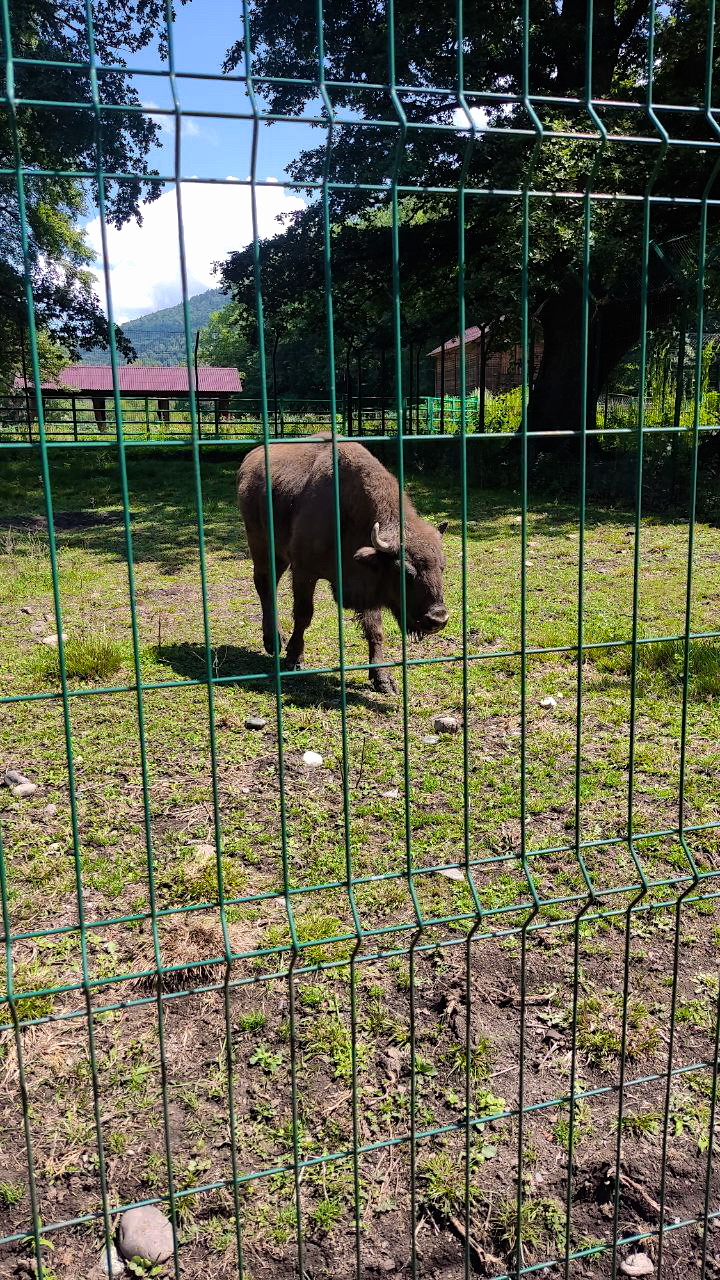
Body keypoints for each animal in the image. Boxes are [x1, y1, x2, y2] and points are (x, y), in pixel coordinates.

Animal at [237, 438, 449, 693]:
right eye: (405, 572)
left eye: (442, 567)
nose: (438, 619)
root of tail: (251, 457)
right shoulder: (304, 572)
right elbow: (303, 614)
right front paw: (294, 659)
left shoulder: (368, 583)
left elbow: (375, 627)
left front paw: (383, 678)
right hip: (262, 545)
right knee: (265, 585)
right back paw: (274, 642)